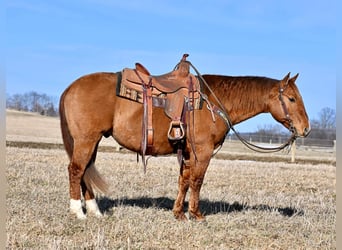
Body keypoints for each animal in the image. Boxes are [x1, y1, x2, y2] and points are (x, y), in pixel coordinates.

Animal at [58, 55, 310, 220]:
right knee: (76, 170)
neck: (214, 100)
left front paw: (178, 213)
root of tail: (70, 88)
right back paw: (78, 212)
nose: (305, 129)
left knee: (86, 171)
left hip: (92, 141)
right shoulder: (203, 152)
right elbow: (197, 181)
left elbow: (184, 181)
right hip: (86, 140)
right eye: (291, 99)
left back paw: (95, 211)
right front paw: (196, 214)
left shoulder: (188, 153)